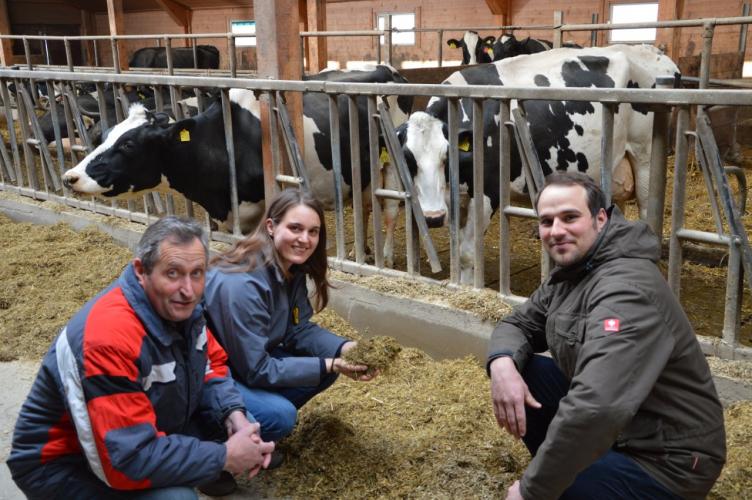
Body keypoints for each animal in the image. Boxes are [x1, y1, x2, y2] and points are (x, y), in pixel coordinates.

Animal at [61, 65, 414, 258]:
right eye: (107, 134)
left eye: (129, 144)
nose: (70, 176)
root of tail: (390, 70)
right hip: (359, 171)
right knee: (365, 205)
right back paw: (360, 251)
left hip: (391, 165)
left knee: (390, 208)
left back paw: (383, 255)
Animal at [400, 46, 680, 286]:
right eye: (409, 159)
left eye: (445, 156)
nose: (432, 217)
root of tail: (654, 51)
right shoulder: (453, 197)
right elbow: (456, 250)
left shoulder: (488, 189)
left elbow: (468, 252)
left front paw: (469, 288)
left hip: (645, 157)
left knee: (648, 213)